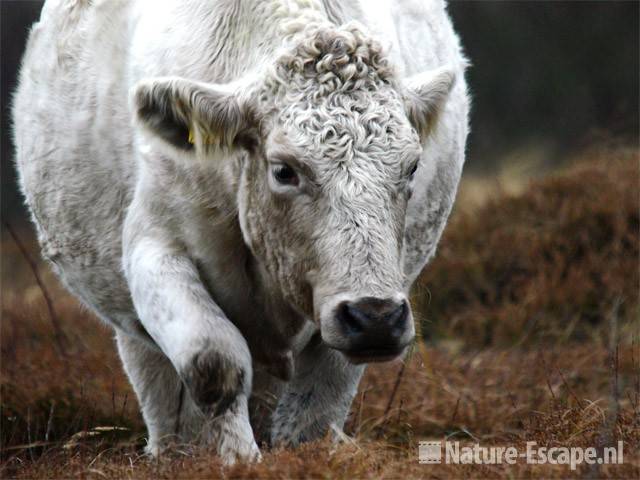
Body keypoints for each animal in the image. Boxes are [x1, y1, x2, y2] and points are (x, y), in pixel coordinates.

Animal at [11, 0, 470, 464]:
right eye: (284, 170)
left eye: (412, 166)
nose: (374, 317)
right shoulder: (153, 247)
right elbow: (214, 361)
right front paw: (238, 459)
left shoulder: (378, 288)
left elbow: (319, 399)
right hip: (129, 324)